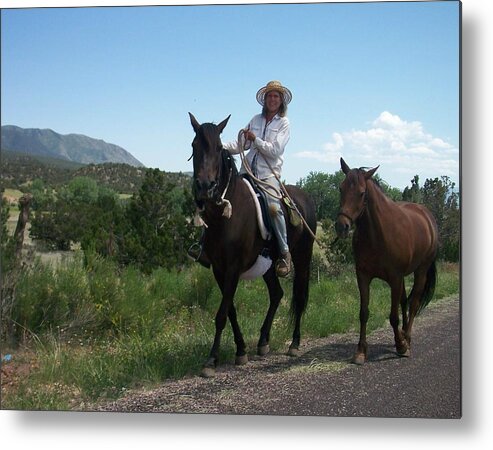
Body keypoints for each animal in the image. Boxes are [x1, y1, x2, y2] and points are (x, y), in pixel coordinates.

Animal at [188, 112, 316, 376]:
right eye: (194, 146)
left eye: (218, 147)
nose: (205, 187)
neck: (226, 214)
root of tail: (306, 198)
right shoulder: (219, 269)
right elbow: (230, 310)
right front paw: (240, 350)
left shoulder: (233, 267)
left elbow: (221, 313)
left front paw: (211, 359)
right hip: (268, 265)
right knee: (277, 294)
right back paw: (263, 342)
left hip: (303, 258)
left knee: (299, 297)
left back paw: (295, 343)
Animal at [334, 156, 438, 364]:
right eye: (341, 188)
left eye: (362, 193)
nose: (342, 226)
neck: (378, 234)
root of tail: (427, 216)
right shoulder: (363, 276)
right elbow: (364, 313)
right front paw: (360, 351)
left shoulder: (395, 278)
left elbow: (393, 316)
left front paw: (400, 345)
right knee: (405, 302)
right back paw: (404, 336)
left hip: (420, 271)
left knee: (413, 303)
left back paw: (407, 339)